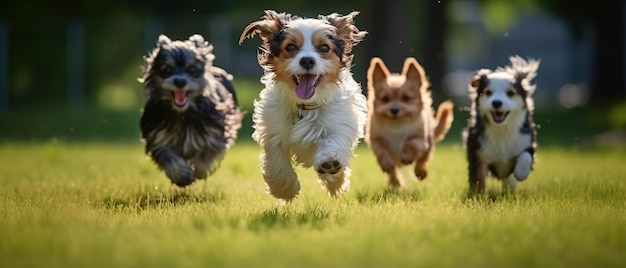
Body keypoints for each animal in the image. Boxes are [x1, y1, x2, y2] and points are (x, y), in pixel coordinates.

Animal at [138, 34, 243, 186]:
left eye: (192, 70)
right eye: (167, 69)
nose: (180, 82)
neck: (183, 114)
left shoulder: (215, 134)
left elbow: (206, 155)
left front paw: (199, 171)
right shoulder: (158, 138)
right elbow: (169, 157)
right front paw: (183, 175)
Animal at [239, 11, 366, 203]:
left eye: (324, 48)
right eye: (291, 47)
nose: (307, 61)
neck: (306, 106)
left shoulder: (340, 122)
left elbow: (333, 141)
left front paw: (330, 163)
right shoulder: (274, 130)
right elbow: (277, 159)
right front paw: (284, 189)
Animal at [364, 57, 450, 186]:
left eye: (406, 98)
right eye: (385, 99)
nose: (394, 110)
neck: (397, 125)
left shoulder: (421, 140)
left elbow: (410, 144)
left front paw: (406, 155)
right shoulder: (376, 141)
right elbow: (382, 151)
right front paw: (386, 163)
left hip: (428, 145)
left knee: (422, 160)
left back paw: (420, 172)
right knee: (393, 170)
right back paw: (395, 182)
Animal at [460, 55, 540, 194]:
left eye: (510, 93)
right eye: (488, 92)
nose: (496, 103)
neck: (502, 128)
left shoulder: (527, 141)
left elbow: (526, 155)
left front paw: (521, 173)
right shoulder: (478, 154)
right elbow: (479, 179)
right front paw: (478, 196)